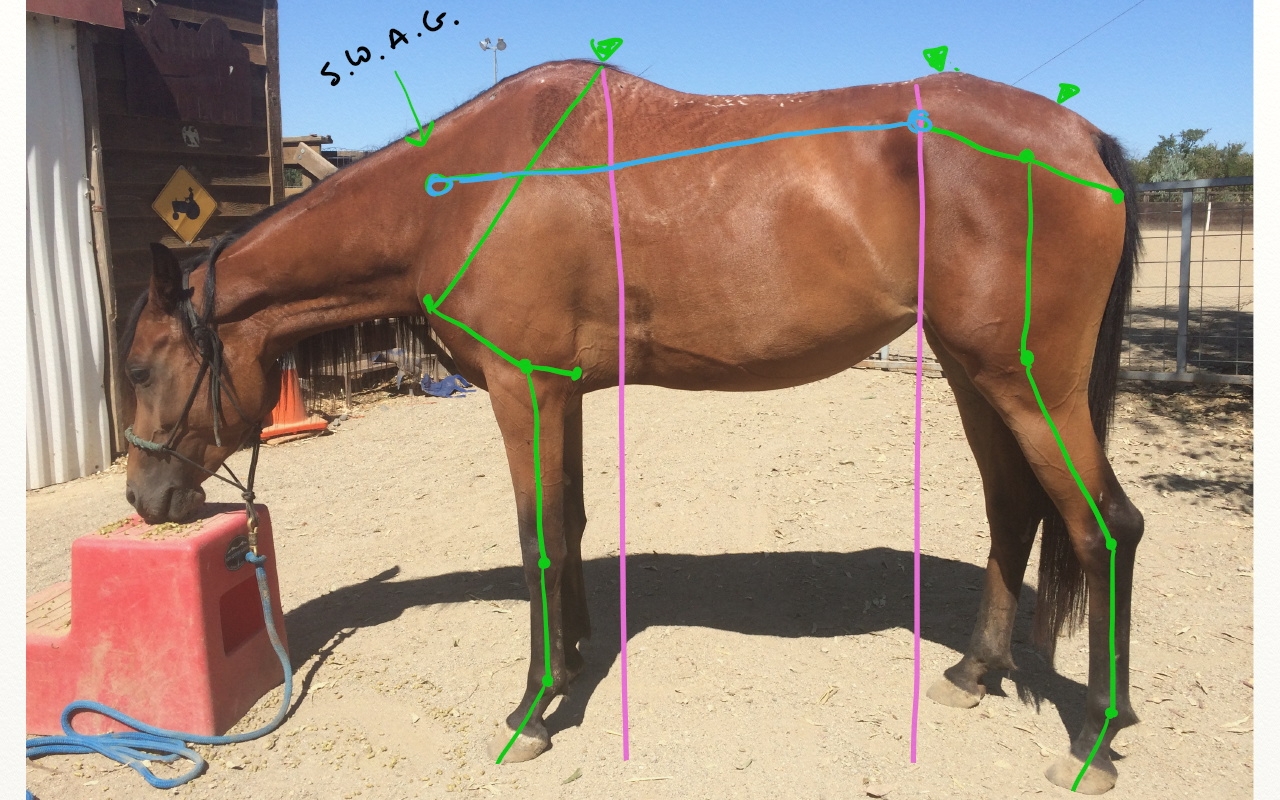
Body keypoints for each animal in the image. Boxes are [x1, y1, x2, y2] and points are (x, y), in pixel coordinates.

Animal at [120, 60, 1143, 793]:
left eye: (137, 369)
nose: (145, 498)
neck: (464, 193)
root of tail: (1081, 140)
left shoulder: (522, 389)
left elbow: (536, 534)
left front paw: (532, 711)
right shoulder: (562, 393)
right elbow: (569, 525)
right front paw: (572, 664)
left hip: (1030, 387)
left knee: (1106, 529)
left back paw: (1094, 740)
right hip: (978, 377)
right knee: (1015, 513)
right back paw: (975, 673)